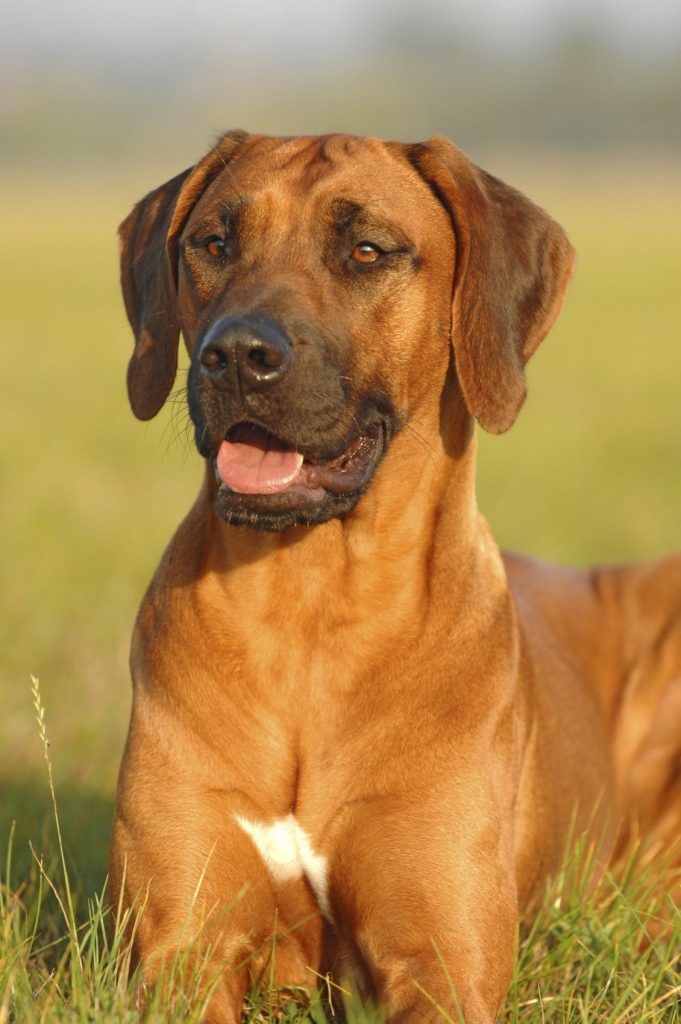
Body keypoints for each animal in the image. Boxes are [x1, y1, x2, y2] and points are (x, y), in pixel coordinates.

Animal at [109, 132, 675, 1019]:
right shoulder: (182, 945)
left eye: (367, 250)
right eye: (214, 243)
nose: (234, 354)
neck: (310, 607)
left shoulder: (439, 957)